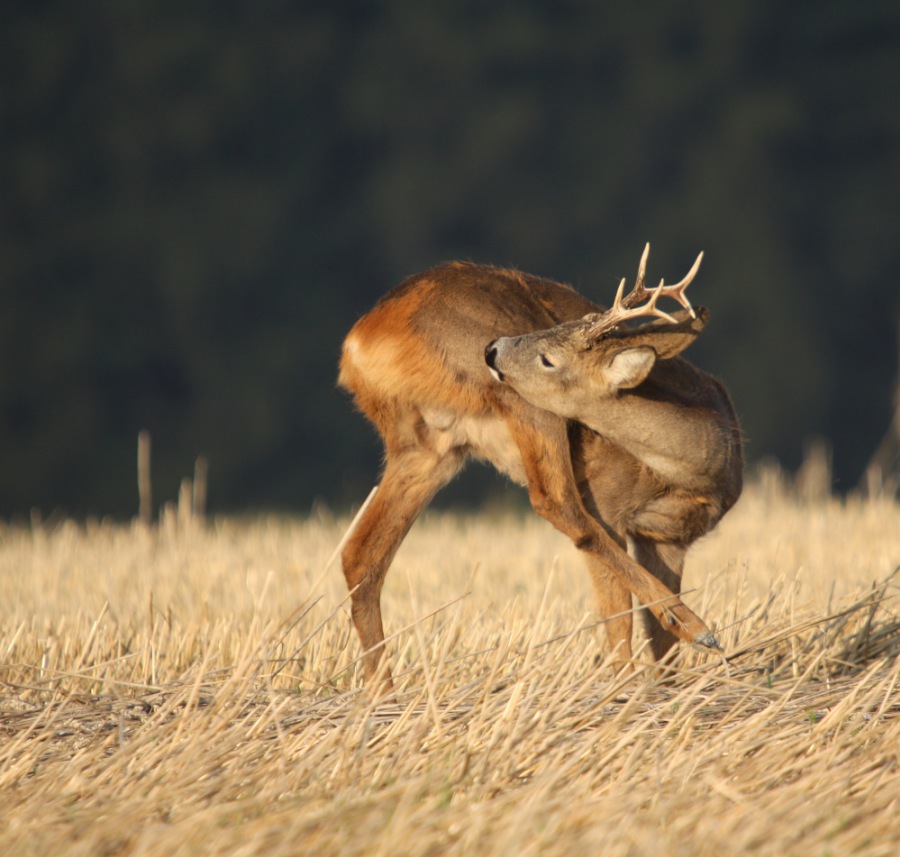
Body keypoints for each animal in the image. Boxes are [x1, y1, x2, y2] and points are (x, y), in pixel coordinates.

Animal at [338, 245, 743, 691]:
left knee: (361, 554)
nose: (492, 349)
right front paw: (633, 682)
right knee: (558, 505)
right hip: (521, 404)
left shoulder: (671, 539)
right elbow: (618, 616)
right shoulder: (609, 507)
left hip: (429, 446)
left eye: (549, 357)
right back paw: (696, 626)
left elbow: (662, 648)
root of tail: (361, 338)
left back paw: (382, 692)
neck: (696, 471)